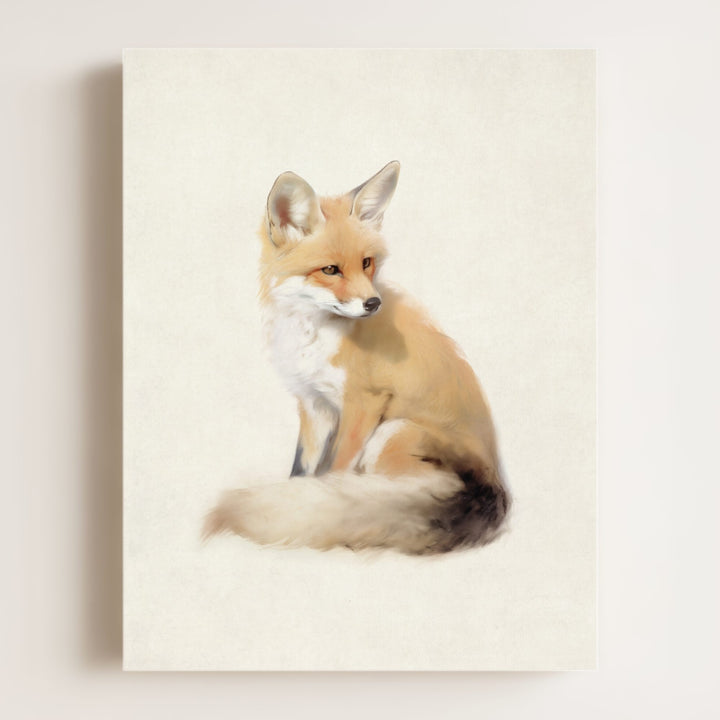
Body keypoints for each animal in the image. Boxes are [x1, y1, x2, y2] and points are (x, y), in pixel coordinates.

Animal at [204, 161, 510, 555]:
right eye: (330, 270)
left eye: (366, 263)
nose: (373, 303)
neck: (311, 337)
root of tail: (495, 486)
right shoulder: (313, 405)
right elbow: (303, 469)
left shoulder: (364, 404)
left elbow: (335, 472)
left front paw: (319, 509)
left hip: (391, 432)